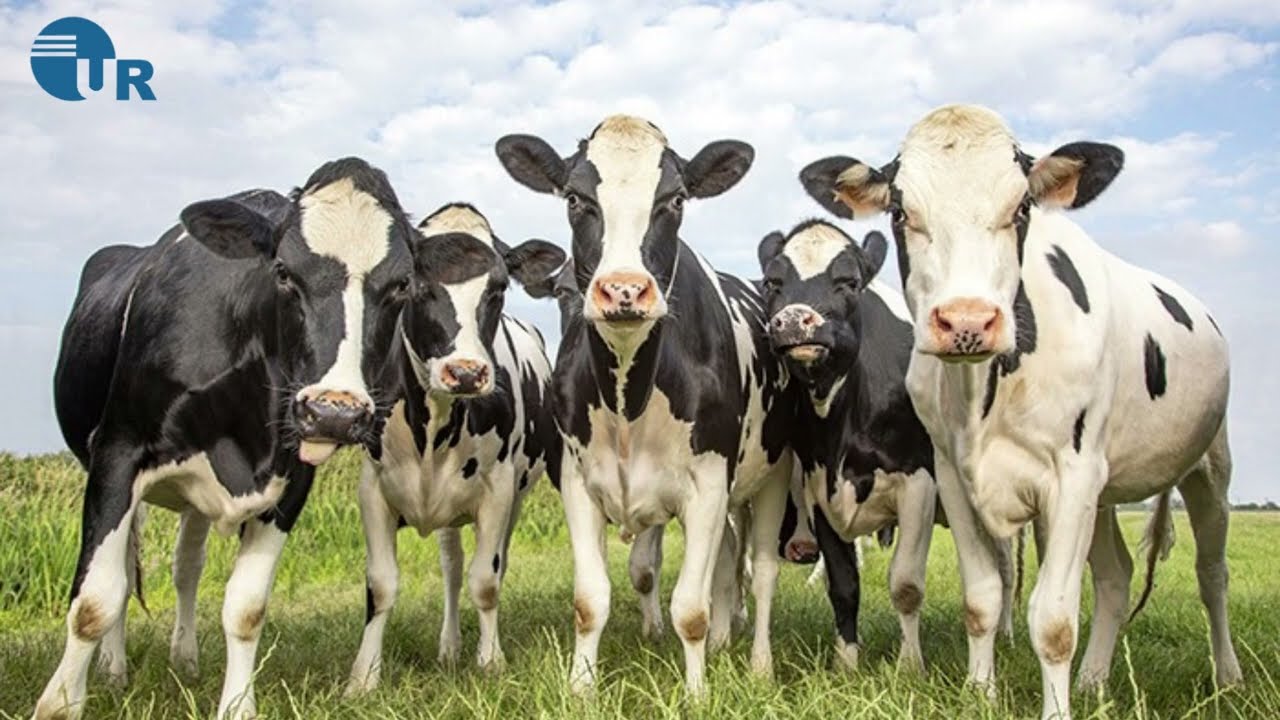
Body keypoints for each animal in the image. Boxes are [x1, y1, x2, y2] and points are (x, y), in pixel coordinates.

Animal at [39, 158, 415, 720]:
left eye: (401, 285)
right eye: (283, 272)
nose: (334, 412)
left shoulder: (290, 480)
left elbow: (246, 608)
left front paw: (237, 706)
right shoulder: (117, 453)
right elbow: (94, 600)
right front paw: (60, 702)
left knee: (186, 568)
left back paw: (185, 658)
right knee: (125, 570)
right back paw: (114, 669)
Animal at [344, 203, 565, 692]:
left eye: (499, 287)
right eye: (412, 284)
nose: (465, 373)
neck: (433, 428)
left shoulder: (499, 489)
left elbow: (486, 579)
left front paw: (491, 661)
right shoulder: (373, 488)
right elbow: (380, 584)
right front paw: (363, 677)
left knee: (487, 565)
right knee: (451, 567)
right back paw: (448, 647)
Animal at [495, 115, 797, 694]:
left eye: (675, 199)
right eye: (575, 198)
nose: (624, 290)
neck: (627, 397)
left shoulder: (709, 486)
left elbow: (691, 608)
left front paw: (698, 694)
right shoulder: (577, 481)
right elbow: (591, 600)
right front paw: (581, 688)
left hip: (773, 473)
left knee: (763, 572)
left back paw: (759, 664)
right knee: (729, 560)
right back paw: (725, 642)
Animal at [756, 220, 937, 672]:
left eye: (850, 282)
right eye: (772, 283)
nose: (793, 320)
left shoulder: (919, 482)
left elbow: (906, 582)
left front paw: (910, 667)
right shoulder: (820, 489)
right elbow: (843, 584)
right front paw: (847, 664)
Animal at [799, 104, 1240, 719]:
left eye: (1022, 207)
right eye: (901, 211)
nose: (966, 321)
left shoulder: (1072, 477)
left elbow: (1053, 619)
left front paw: (1055, 709)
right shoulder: (952, 476)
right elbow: (982, 597)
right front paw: (979, 692)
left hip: (1209, 470)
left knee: (1211, 573)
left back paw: (1227, 677)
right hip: (1105, 492)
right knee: (1116, 577)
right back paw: (1093, 679)